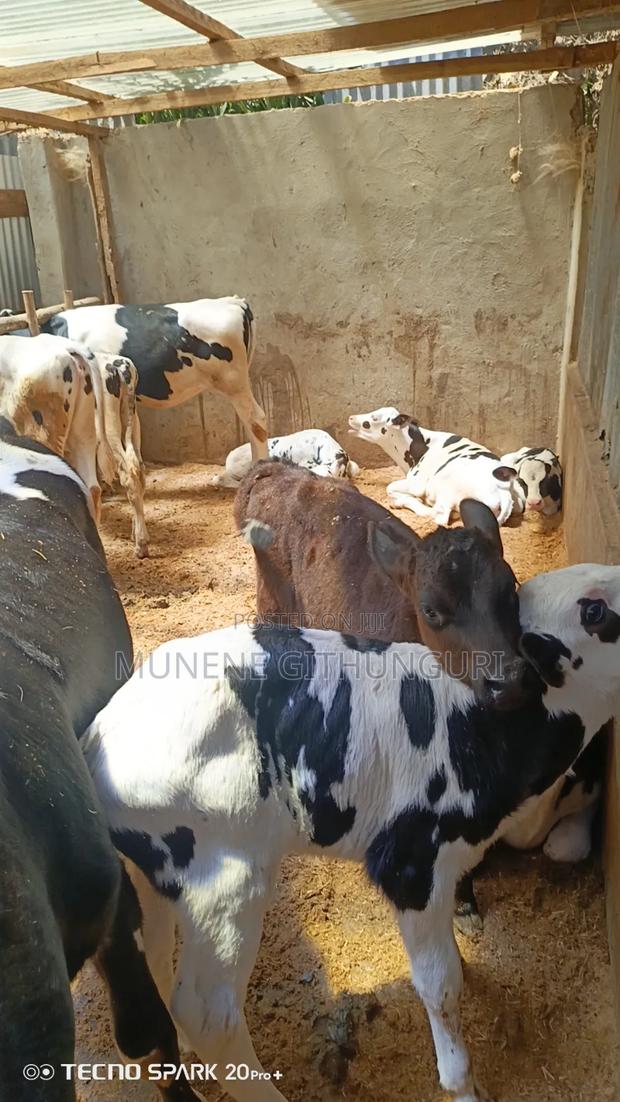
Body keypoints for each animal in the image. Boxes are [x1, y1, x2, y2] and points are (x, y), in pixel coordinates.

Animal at [82, 561, 620, 1102]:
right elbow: (440, 982)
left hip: (152, 879)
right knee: (208, 1011)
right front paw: (462, 1084)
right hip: (225, 878)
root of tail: (99, 734)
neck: (479, 725)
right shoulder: (411, 866)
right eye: (595, 612)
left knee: (156, 961)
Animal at [348, 407, 525, 525]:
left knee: (438, 516)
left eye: (374, 418)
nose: (351, 417)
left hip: (445, 488)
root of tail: (503, 490)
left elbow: (390, 487)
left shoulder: (417, 484)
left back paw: (400, 502)